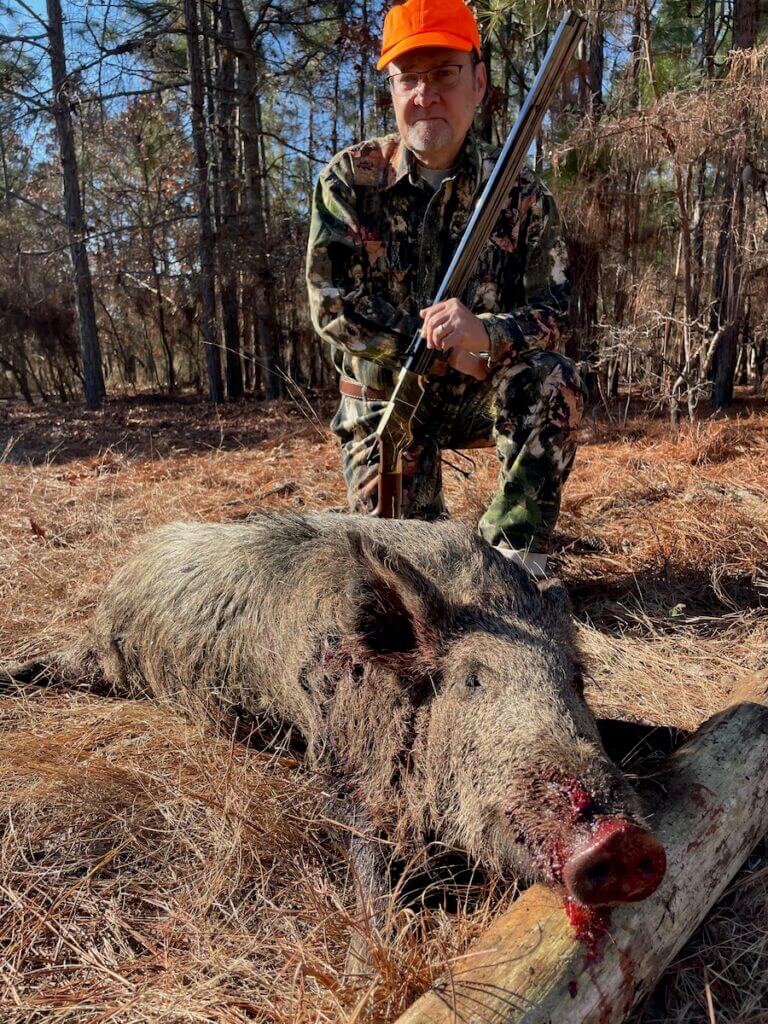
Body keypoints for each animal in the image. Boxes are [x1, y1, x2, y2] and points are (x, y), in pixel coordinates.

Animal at [3, 511, 666, 931]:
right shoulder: (336, 758)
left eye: (575, 680)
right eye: (473, 681)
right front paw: (378, 945)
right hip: (118, 665)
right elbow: (364, 850)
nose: (622, 837)